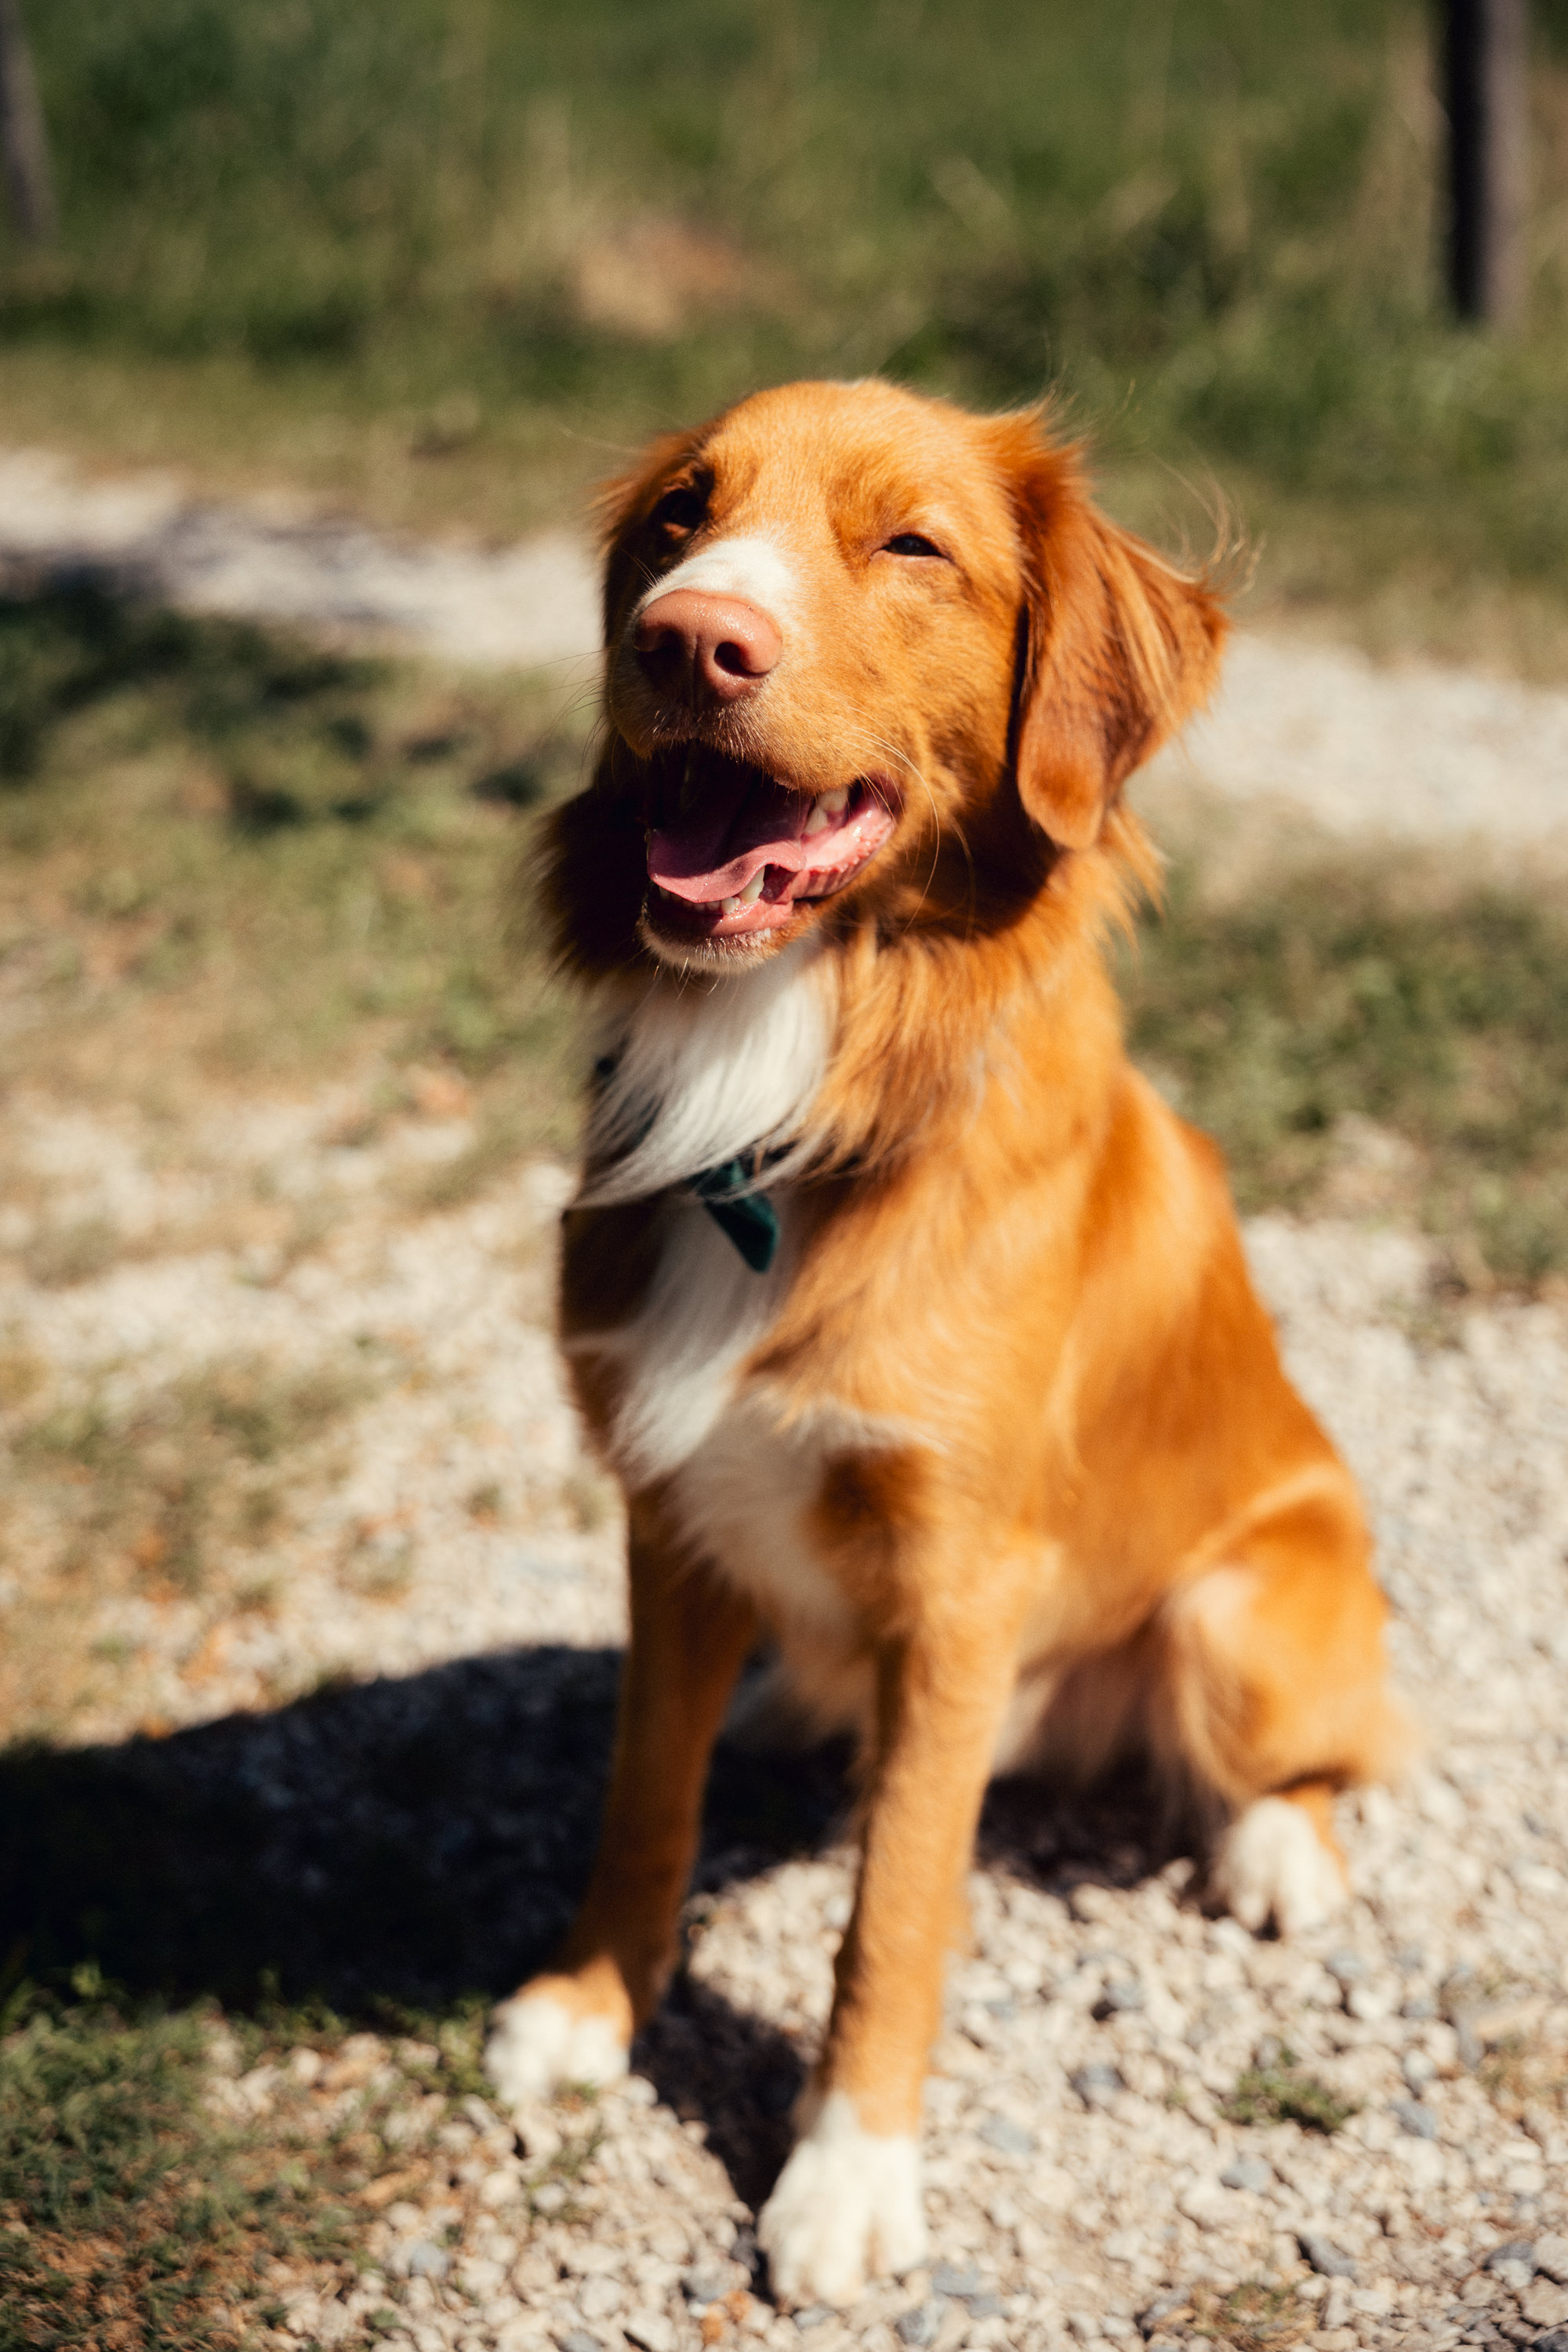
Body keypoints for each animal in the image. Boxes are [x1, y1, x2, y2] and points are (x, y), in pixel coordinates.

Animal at [484, 379, 1406, 2309]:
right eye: (679, 518)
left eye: (912, 546)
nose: (687, 635)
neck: (792, 1104)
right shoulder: (667, 1512)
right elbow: (640, 1796)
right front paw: (591, 2010)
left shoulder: (966, 1582)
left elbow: (895, 1910)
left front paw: (846, 2177)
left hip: (1235, 1614)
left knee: (1330, 1749)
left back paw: (1274, 1847)